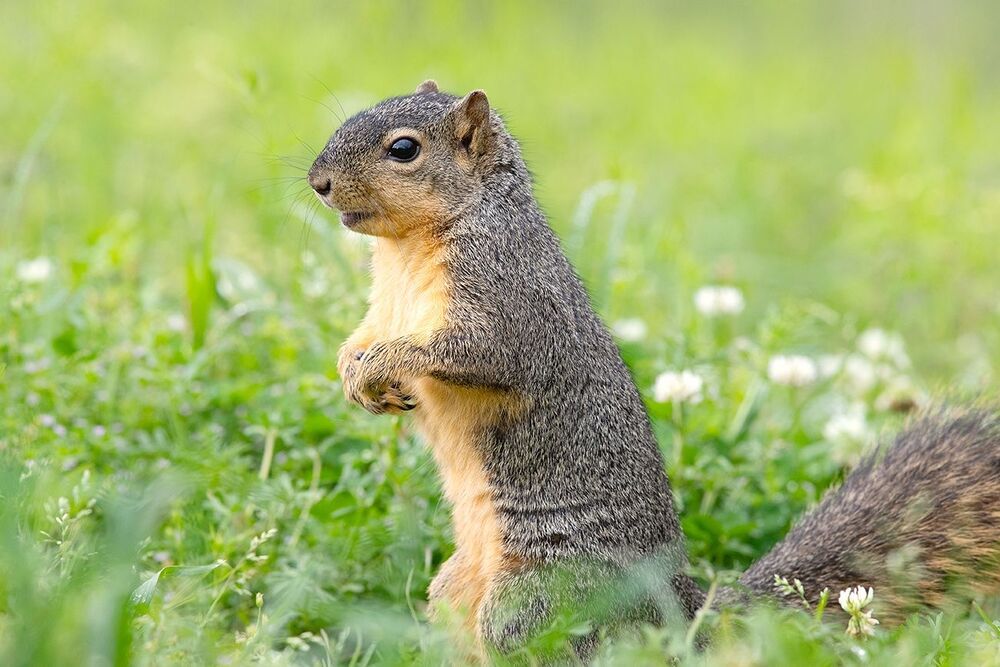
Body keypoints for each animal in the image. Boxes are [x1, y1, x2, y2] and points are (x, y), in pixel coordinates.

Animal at [307, 81, 1000, 659]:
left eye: (404, 149)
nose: (317, 182)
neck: (408, 249)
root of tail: (680, 614)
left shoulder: (509, 299)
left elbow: (473, 354)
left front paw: (383, 367)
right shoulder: (382, 307)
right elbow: (360, 338)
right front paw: (353, 373)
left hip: (535, 603)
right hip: (455, 592)